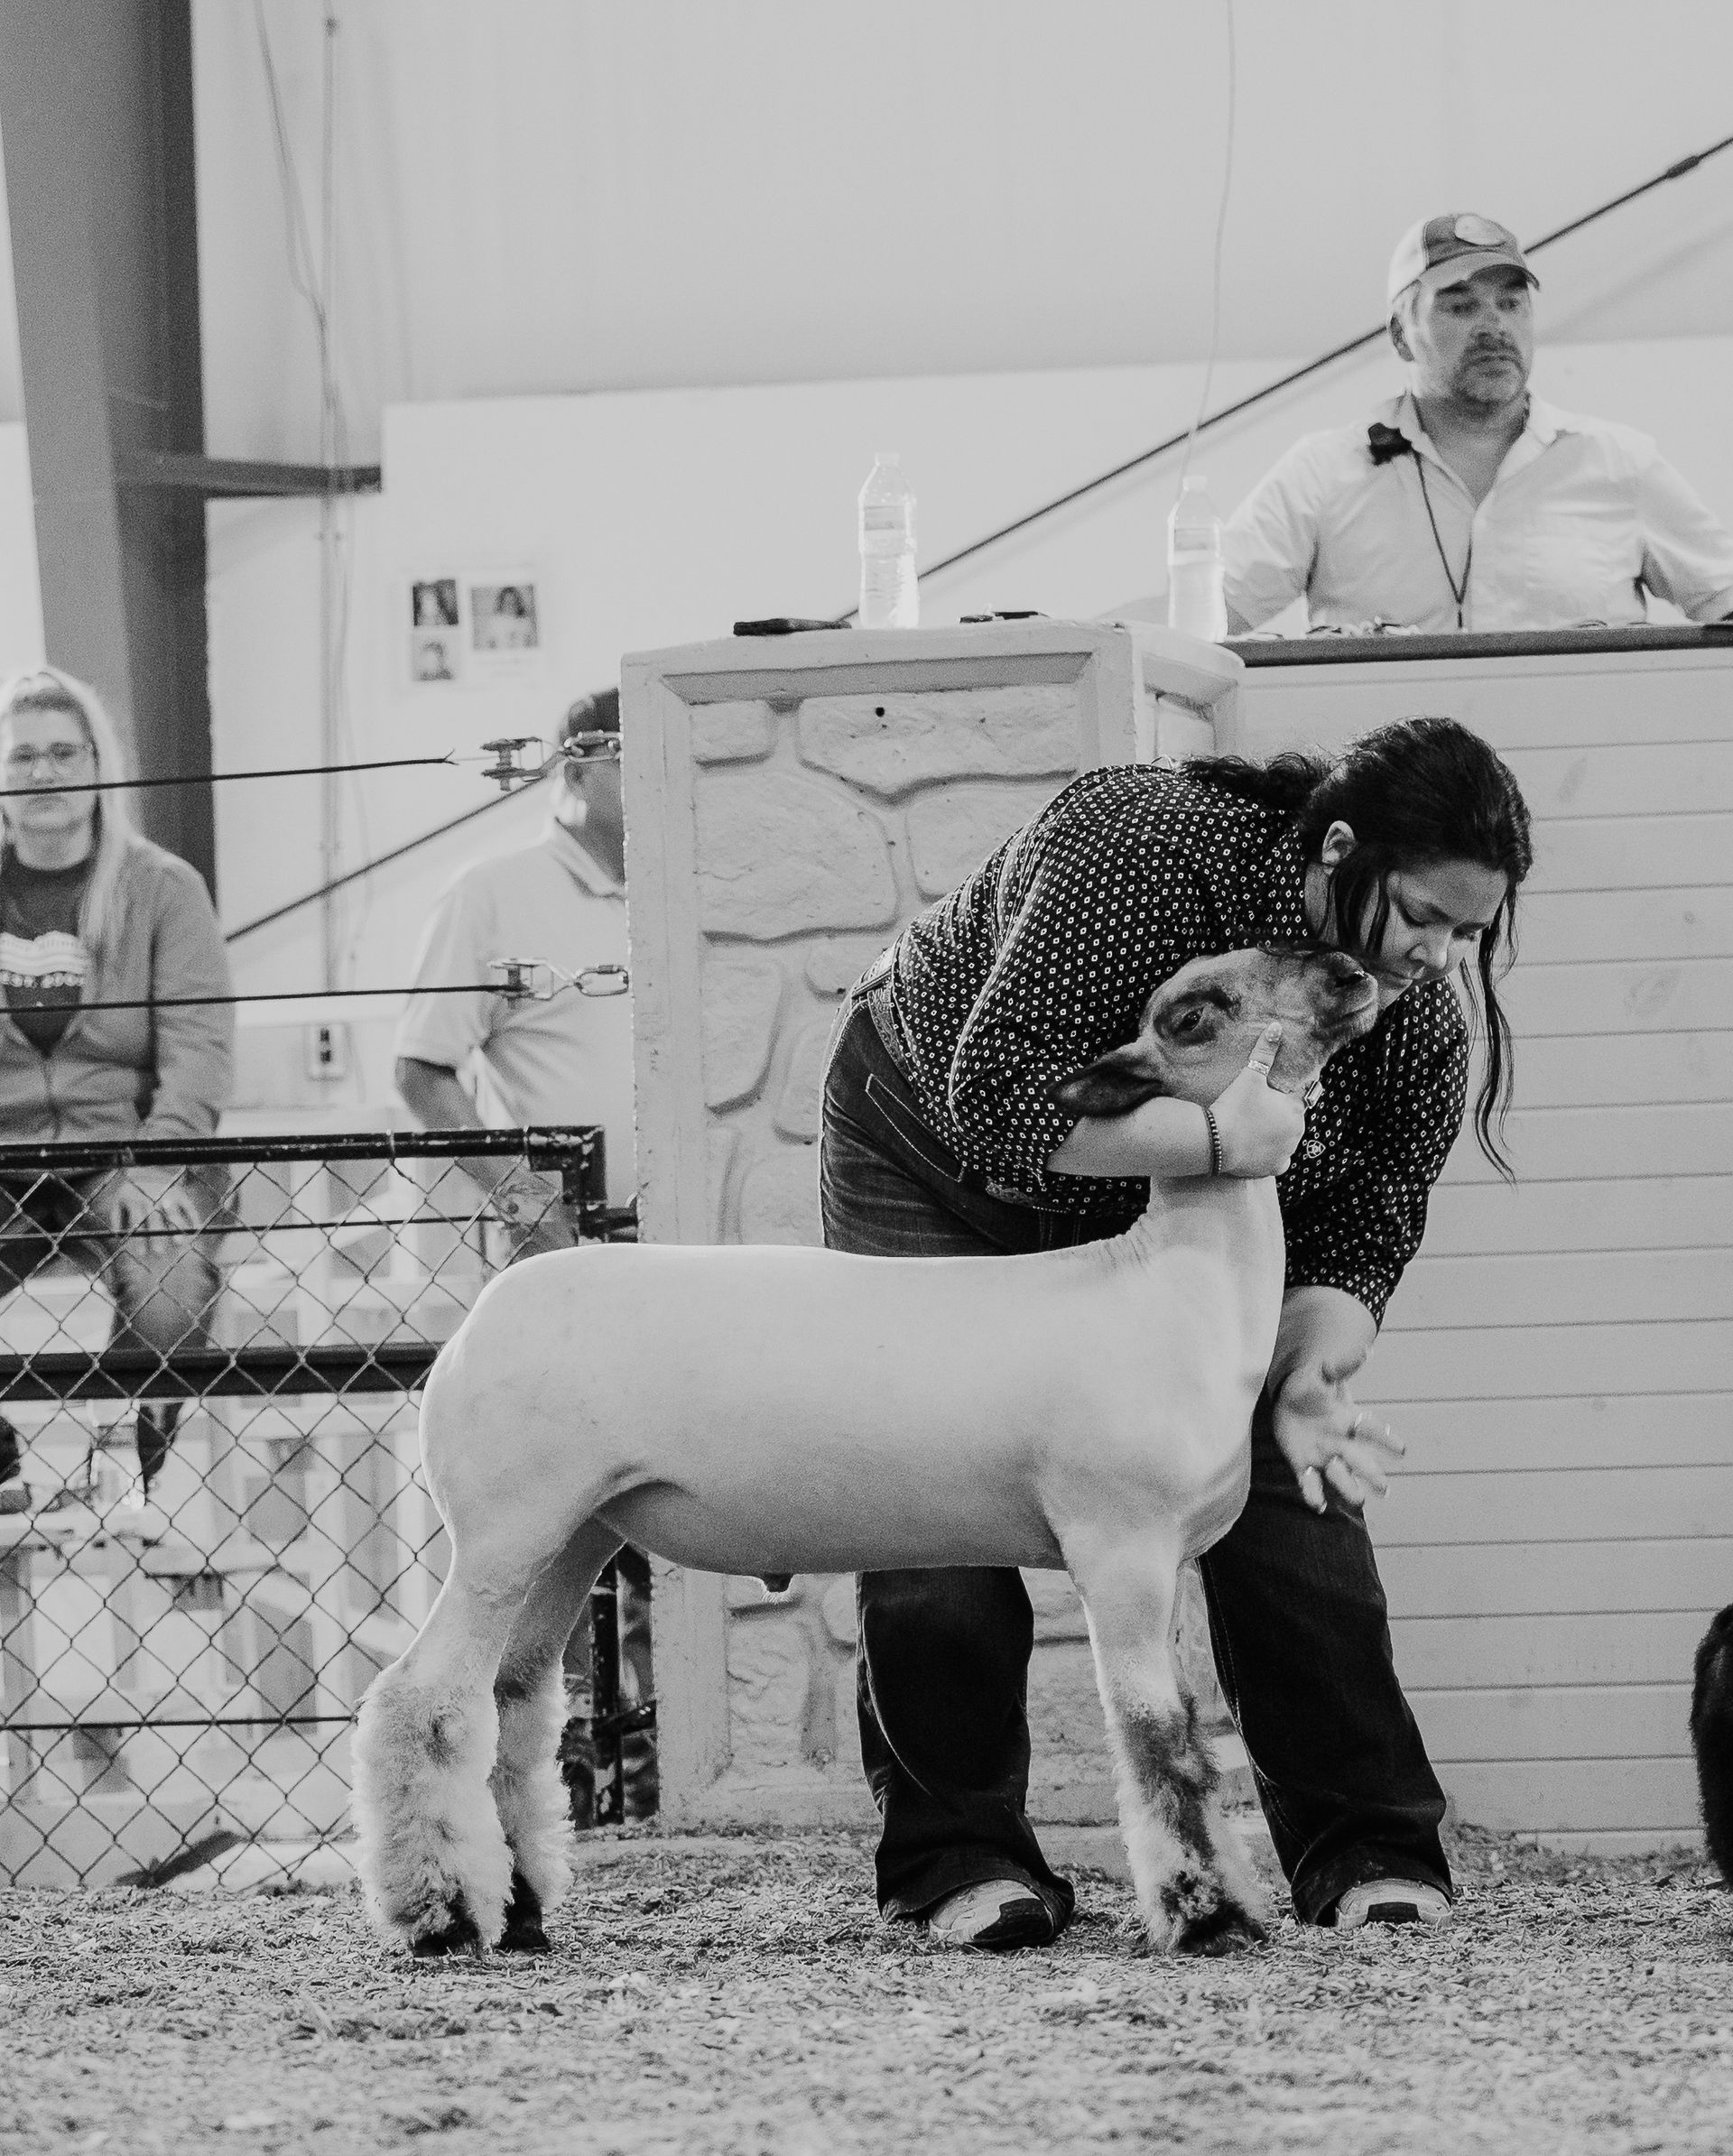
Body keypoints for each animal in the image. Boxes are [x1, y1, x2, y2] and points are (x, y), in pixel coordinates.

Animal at [352, 944, 1379, 1960]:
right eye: (1194, 1014)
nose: (1353, 974)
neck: (1176, 1279)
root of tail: (475, 1323)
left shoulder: (1166, 1558)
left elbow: (1187, 1736)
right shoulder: (1120, 1543)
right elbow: (1158, 1734)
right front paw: (1209, 1915)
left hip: (576, 1530)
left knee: (515, 1701)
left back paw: (521, 1913)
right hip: (505, 1524)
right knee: (424, 1698)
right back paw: (443, 1916)